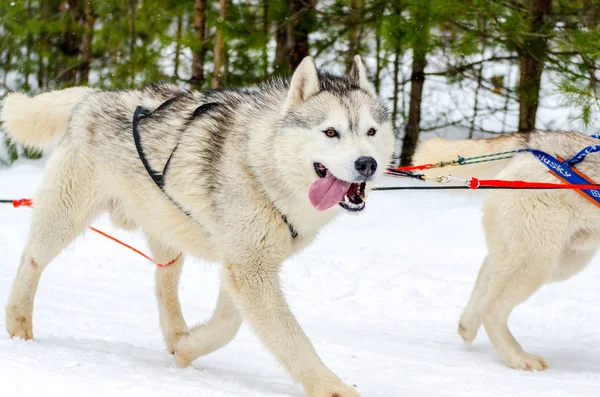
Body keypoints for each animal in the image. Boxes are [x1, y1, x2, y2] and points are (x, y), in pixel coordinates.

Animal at [2, 56, 396, 396]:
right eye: (331, 132)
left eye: (371, 131)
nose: (367, 163)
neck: (262, 167)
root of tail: (94, 95)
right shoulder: (249, 269)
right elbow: (291, 338)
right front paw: (331, 387)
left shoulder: (245, 266)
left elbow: (228, 325)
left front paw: (187, 346)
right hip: (65, 216)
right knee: (30, 259)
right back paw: (19, 323)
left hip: (168, 231)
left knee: (163, 284)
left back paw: (176, 333)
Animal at [414, 131, 600, 370]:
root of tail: (534, 146)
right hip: (539, 261)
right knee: (491, 307)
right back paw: (517, 357)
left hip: (561, 258)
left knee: (487, 275)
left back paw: (468, 326)